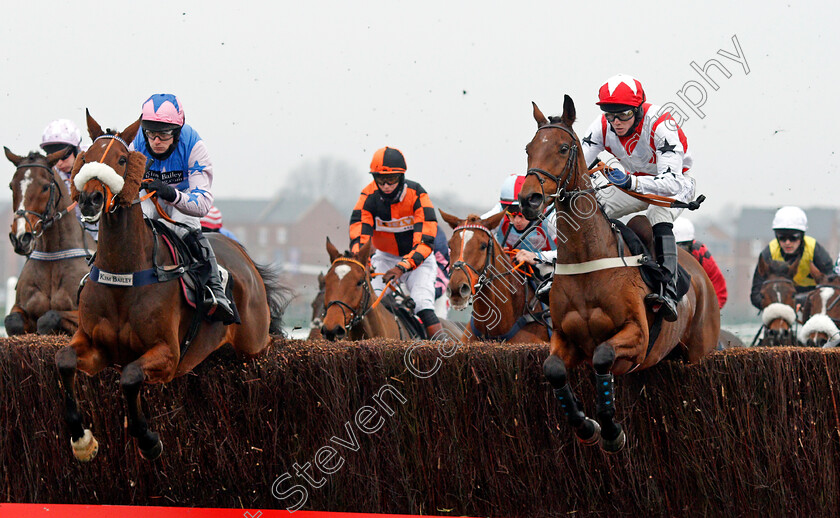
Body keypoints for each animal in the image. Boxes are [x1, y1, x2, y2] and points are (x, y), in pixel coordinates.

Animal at [4, 148, 96, 336]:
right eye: (11, 185)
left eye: (45, 187)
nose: (20, 238)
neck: (53, 257)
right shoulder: (19, 307)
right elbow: (12, 321)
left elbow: (48, 318)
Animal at [516, 98, 720, 456]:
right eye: (529, 148)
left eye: (563, 147)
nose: (530, 199)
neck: (588, 260)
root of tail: (698, 273)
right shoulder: (564, 338)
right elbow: (553, 370)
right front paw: (586, 427)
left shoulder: (635, 337)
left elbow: (603, 357)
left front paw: (611, 429)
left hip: (699, 351)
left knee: (660, 212)